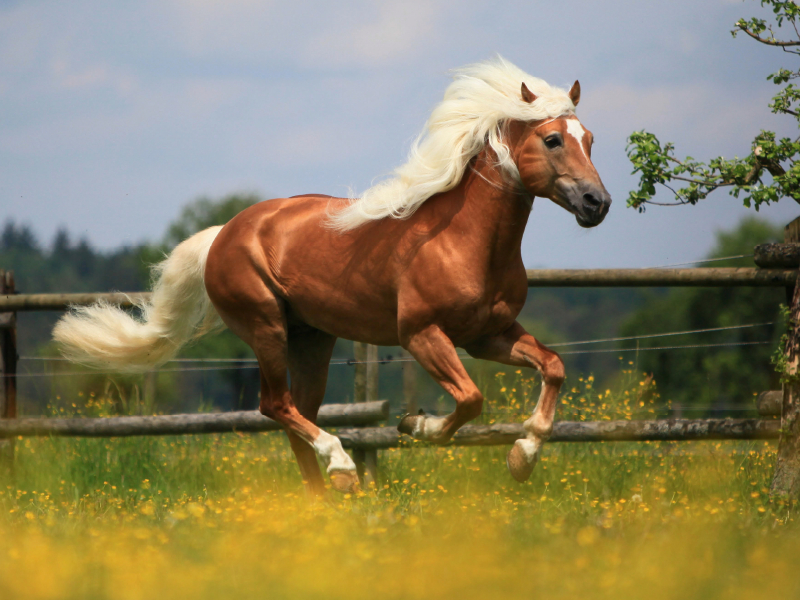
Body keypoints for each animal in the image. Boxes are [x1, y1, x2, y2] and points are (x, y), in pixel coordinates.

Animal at [51, 58, 612, 494]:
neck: (465, 242)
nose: (597, 203)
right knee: (276, 406)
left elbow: (554, 366)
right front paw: (416, 425)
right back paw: (341, 468)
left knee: (296, 415)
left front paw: (522, 457)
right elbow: (471, 399)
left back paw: (323, 501)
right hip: (266, 327)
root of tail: (223, 234)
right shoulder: (422, 334)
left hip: (312, 340)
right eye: (553, 139)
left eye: (590, 139)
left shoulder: (488, 336)